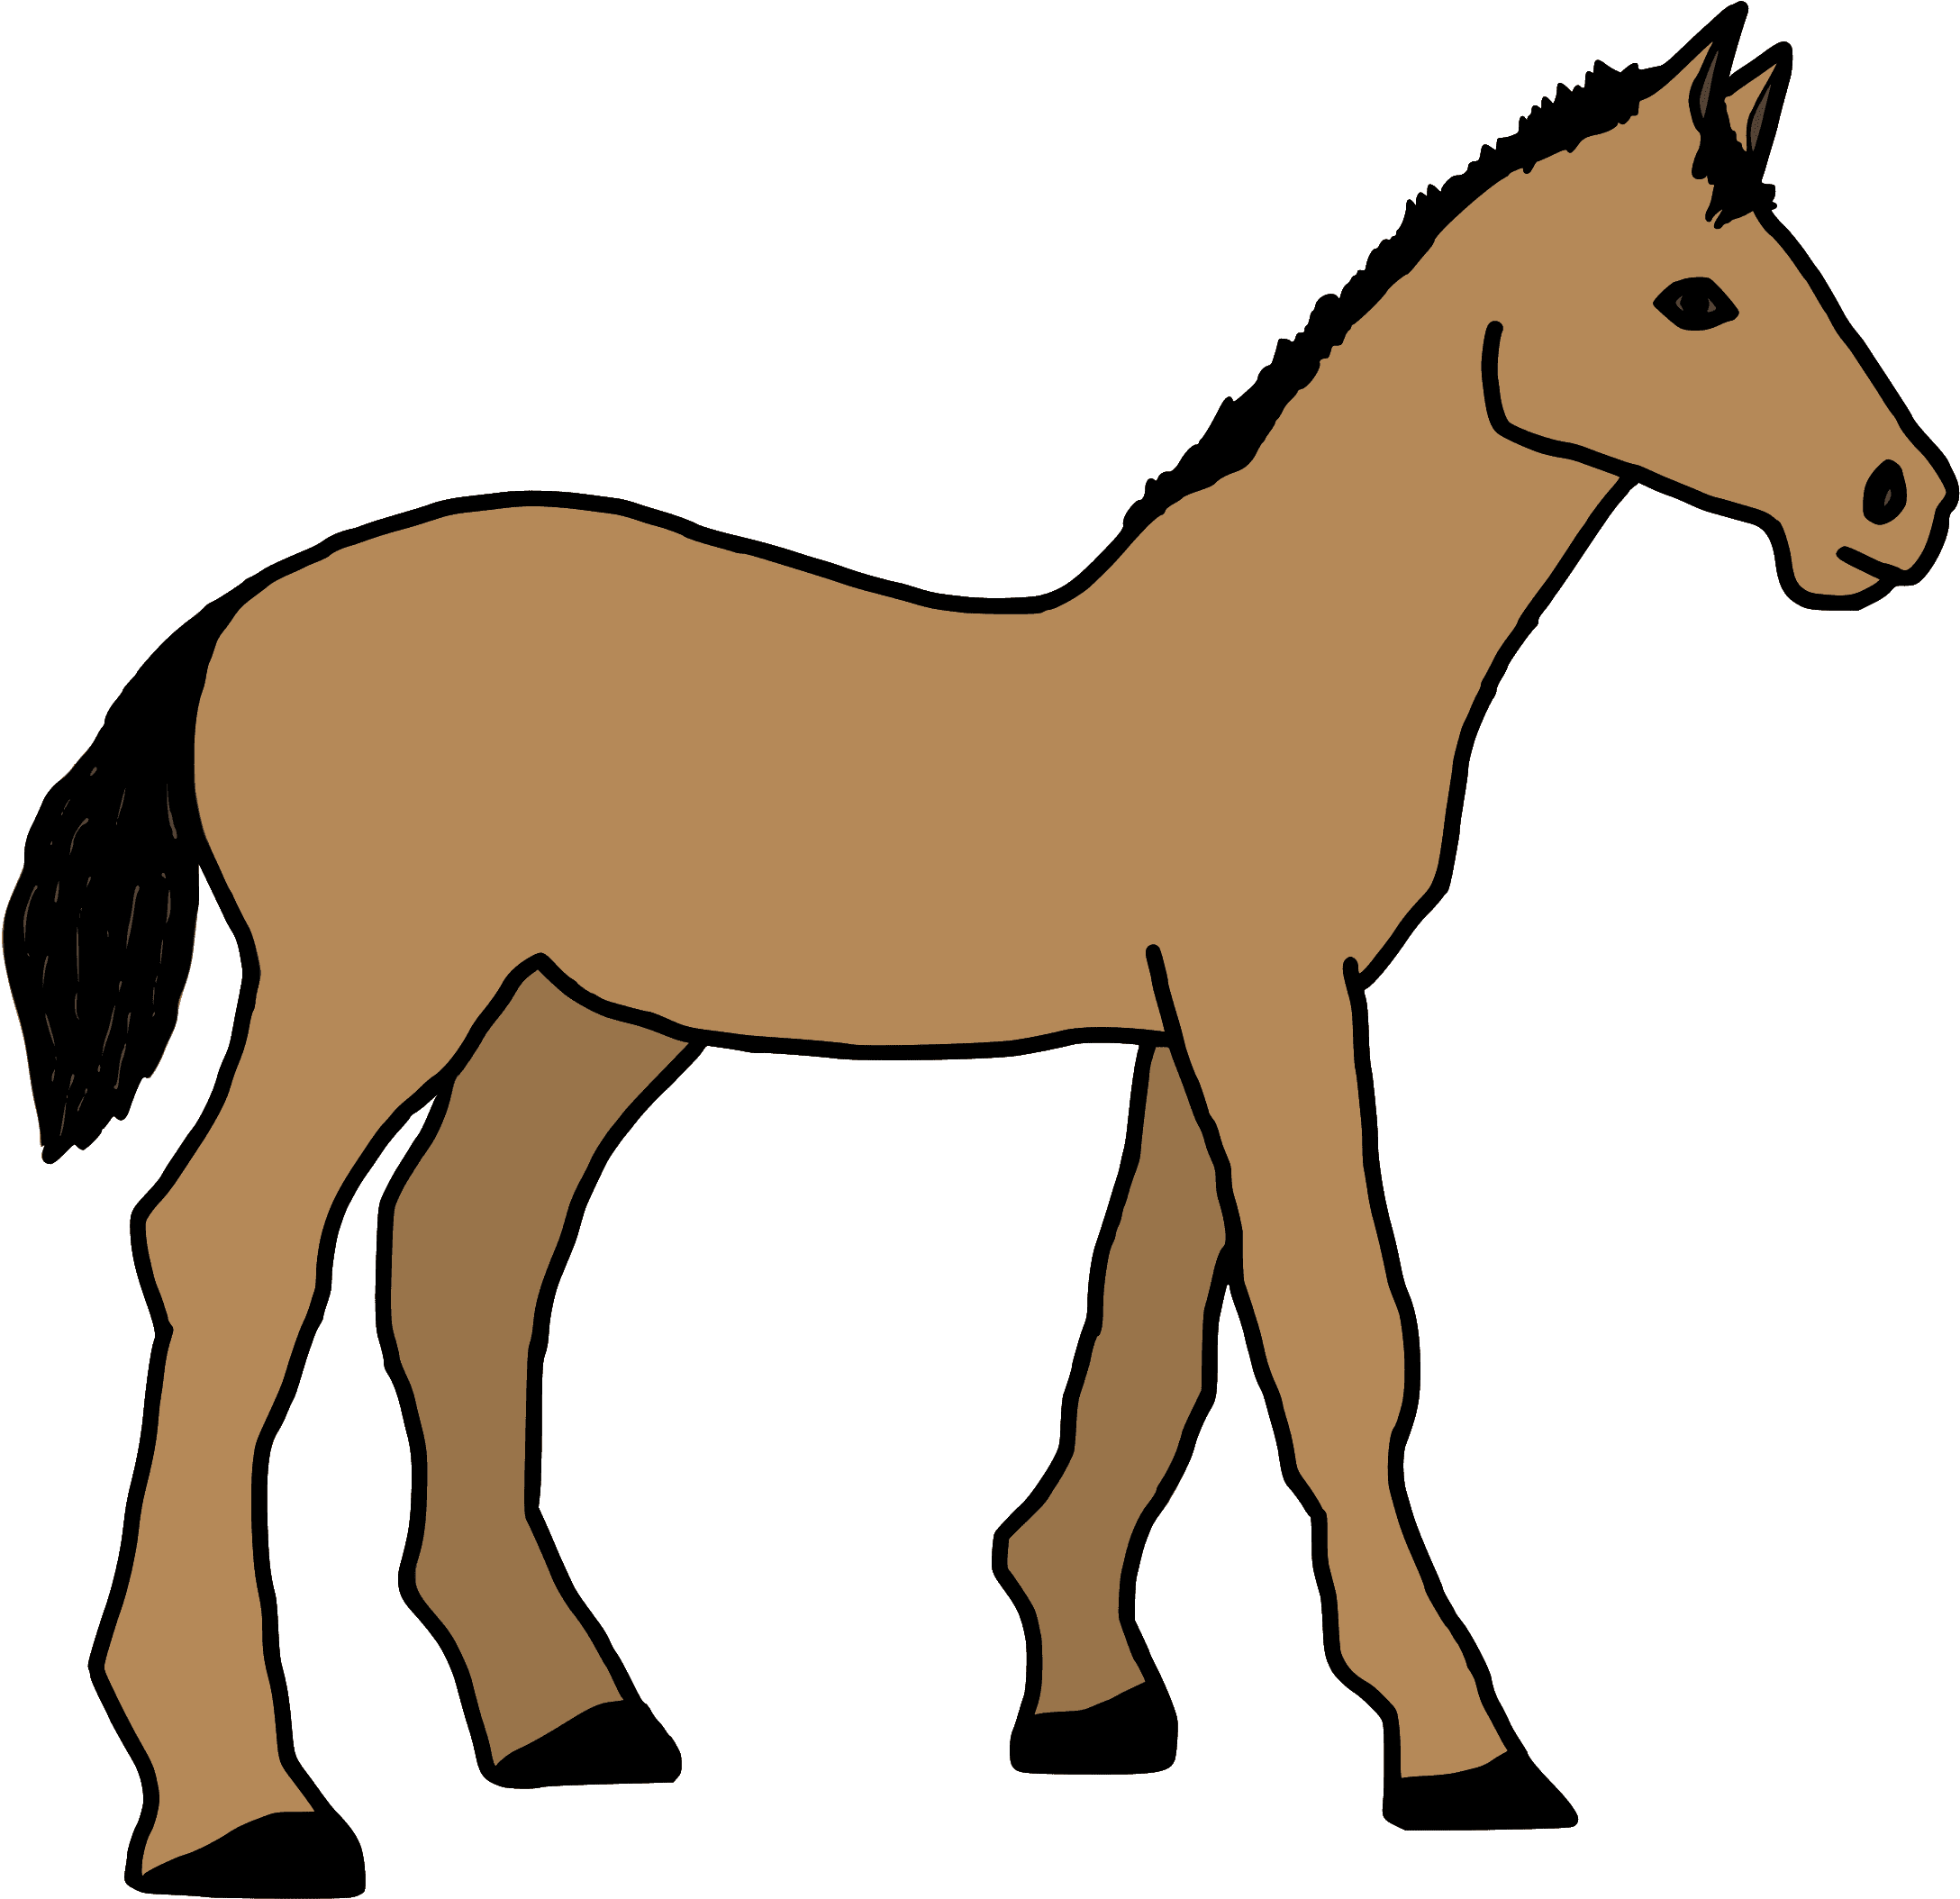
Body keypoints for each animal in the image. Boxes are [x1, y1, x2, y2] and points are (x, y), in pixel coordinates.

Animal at [5, 7, 1951, 1893]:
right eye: (1691, 297)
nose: (1897, 506)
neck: (1284, 644)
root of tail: (240, 615)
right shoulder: (1265, 996)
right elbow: (1336, 1331)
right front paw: (1457, 1744)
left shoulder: (1196, 1019)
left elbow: (1156, 1320)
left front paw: (1085, 1684)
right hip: (374, 987)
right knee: (236, 1247)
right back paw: (236, 1806)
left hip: (577, 1009)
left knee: (466, 1253)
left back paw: (561, 1711)